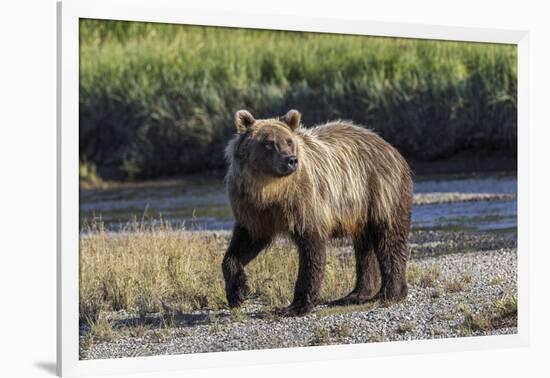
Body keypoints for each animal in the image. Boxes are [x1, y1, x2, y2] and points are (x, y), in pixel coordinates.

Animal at [222, 109, 412, 316]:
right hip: (360, 209)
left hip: (379, 191)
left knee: (388, 239)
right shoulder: (252, 209)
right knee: (364, 247)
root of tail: (389, 146)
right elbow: (244, 244)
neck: (270, 190)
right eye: (269, 143)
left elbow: (311, 249)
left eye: (289, 141)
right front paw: (237, 292)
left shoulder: (303, 202)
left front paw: (295, 305)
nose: (291, 160)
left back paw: (391, 293)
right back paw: (356, 294)